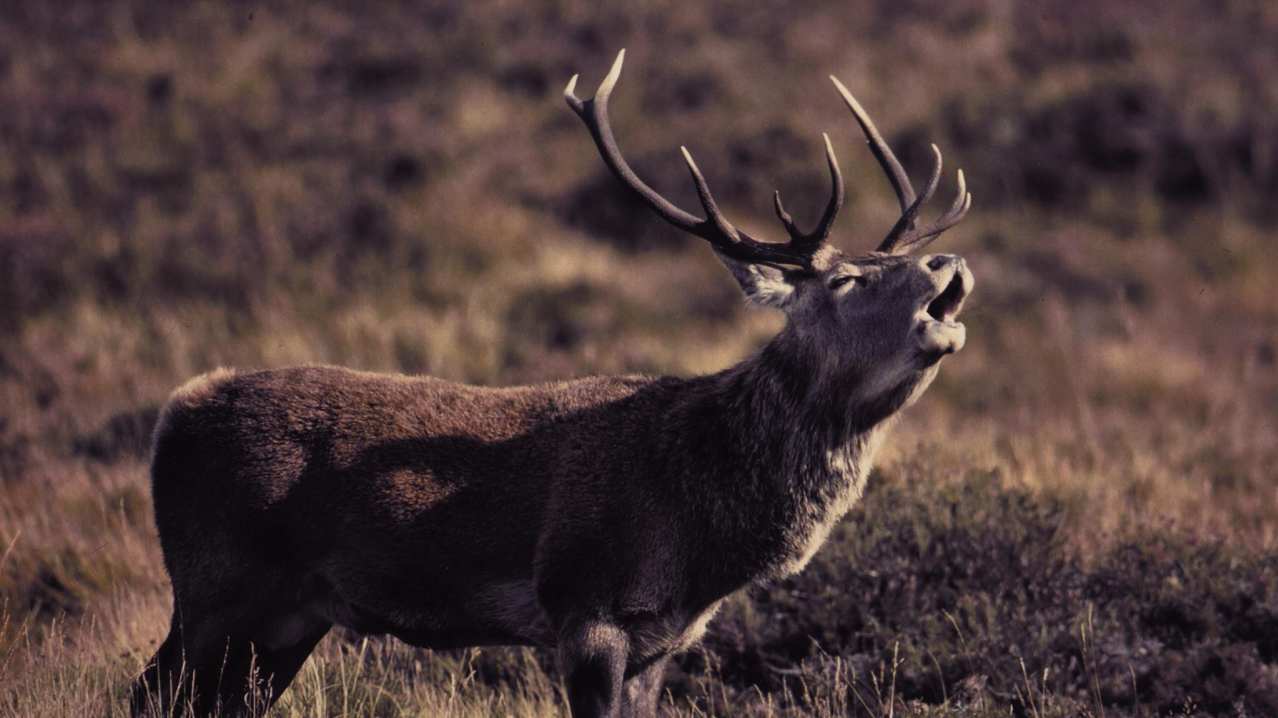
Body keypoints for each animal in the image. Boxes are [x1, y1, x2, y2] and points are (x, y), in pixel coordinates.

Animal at [130, 50, 973, 717]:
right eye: (846, 280)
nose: (947, 261)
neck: (702, 528)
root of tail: (175, 411)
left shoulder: (660, 638)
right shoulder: (583, 605)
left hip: (288, 616)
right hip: (215, 583)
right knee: (149, 692)